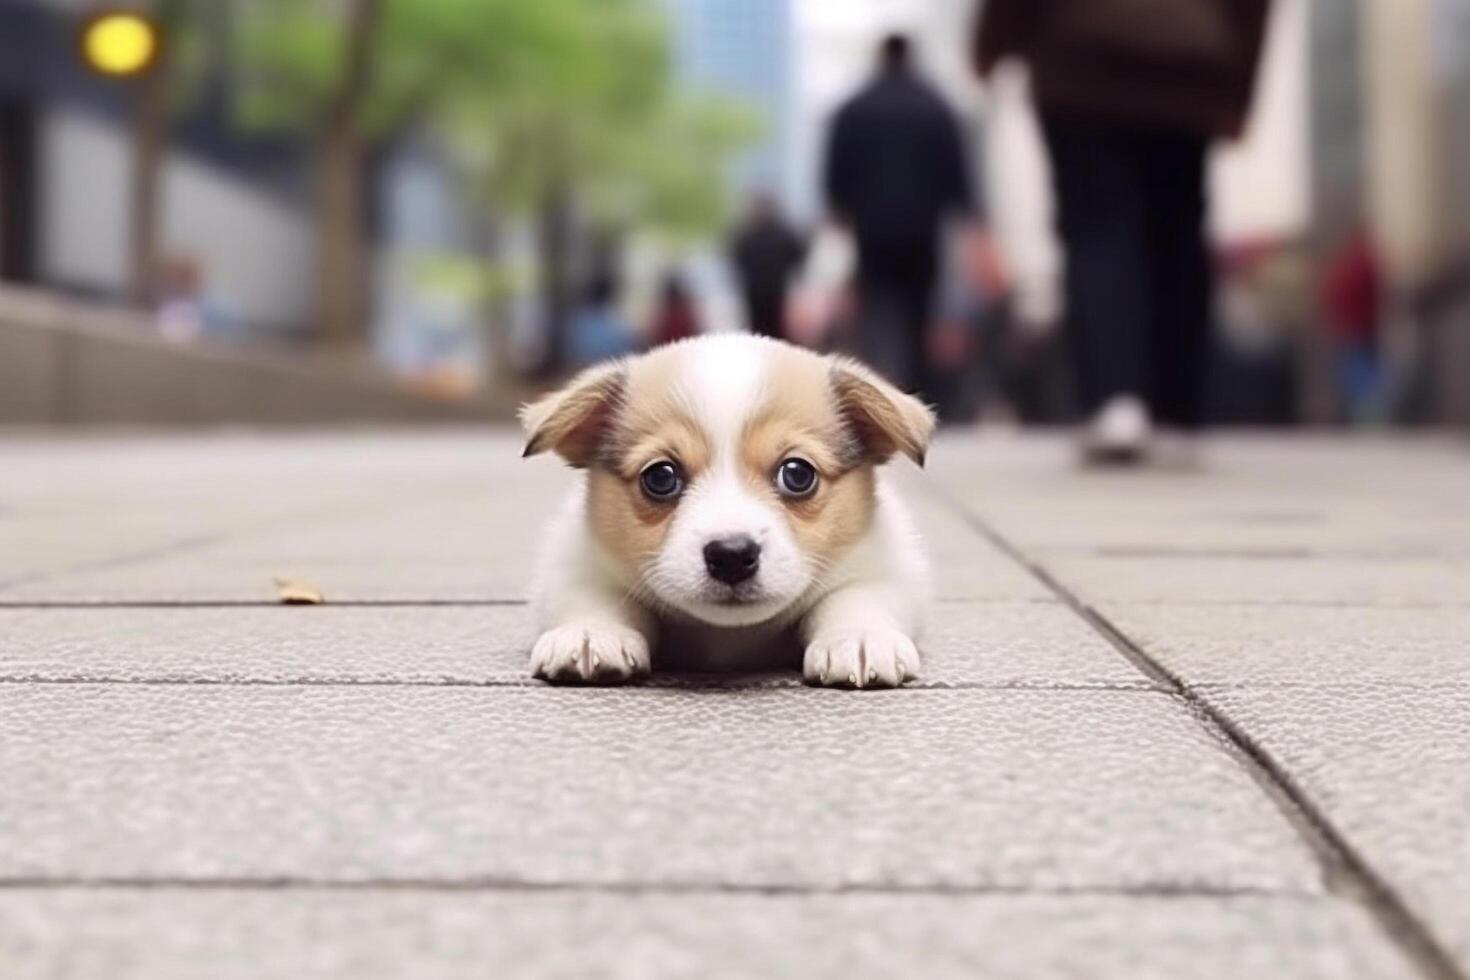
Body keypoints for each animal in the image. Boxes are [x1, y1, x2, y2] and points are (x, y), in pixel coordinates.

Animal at [523, 334, 934, 690]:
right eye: (660, 477)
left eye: (798, 474)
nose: (732, 555)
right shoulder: (580, 565)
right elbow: (597, 598)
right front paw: (590, 633)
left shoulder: (882, 569)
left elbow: (854, 599)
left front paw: (860, 638)